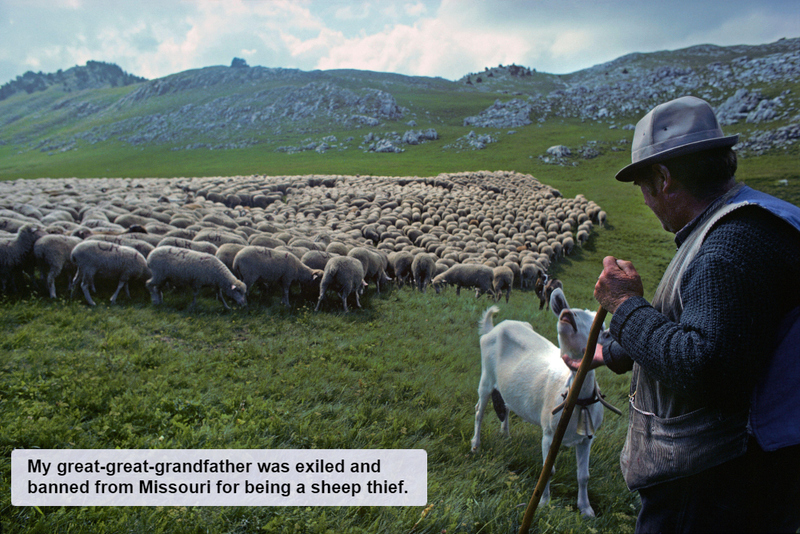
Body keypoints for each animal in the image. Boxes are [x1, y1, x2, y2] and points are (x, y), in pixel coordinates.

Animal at [472, 288, 608, 520]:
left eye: (600, 327)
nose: (567, 313)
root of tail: (494, 327)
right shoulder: (549, 431)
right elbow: (548, 470)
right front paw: (544, 503)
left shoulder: (587, 437)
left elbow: (584, 475)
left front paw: (586, 509)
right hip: (486, 376)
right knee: (479, 411)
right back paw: (475, 445)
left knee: (505, 405)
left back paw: (505, 435)